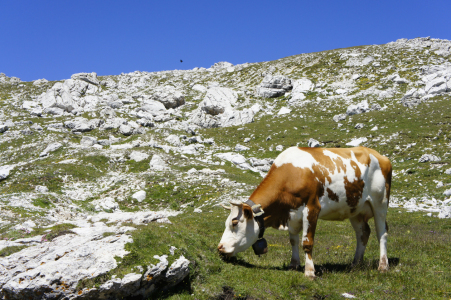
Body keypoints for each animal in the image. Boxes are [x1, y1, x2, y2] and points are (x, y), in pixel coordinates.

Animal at [219, 146, 392, 278]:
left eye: (235, 222)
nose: (220, 248)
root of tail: (379, 155)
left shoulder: (312, 208)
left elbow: (307, 242)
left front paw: (309, 272)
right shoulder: (292, 214)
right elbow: (293, 240)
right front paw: (294, 264)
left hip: (380, 203)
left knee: (382, 233)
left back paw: (383, 266)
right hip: (355, 209)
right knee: (363, 232)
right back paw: (355, 264)